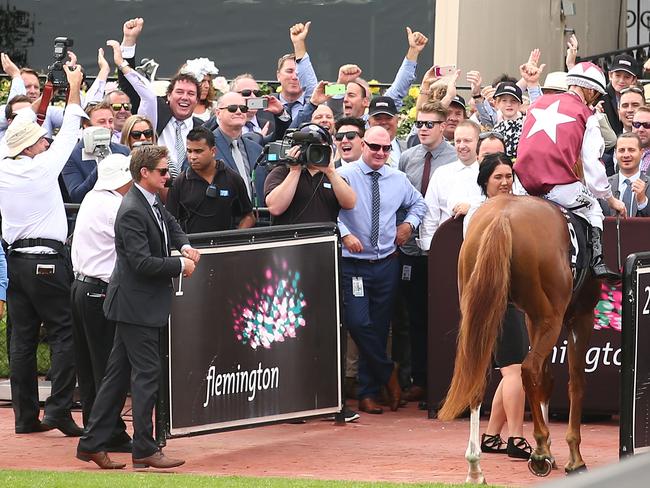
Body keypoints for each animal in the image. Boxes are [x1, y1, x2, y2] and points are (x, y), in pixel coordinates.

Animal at [438, 195, 600, 484]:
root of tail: (502, 216)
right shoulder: (578, 317)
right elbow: (576, 381)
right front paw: (572, 458)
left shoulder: (532, 320)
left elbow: (547, 380)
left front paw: (554, 454)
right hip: (550, 319)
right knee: (529, 368)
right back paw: (540, 450)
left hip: (483, 317)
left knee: (478, 378)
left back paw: (475, 467)